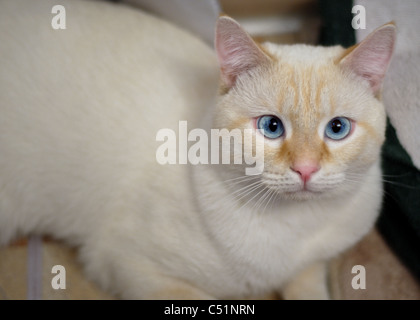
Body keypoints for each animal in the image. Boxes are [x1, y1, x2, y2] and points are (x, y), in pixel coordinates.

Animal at [0, 0, 394, 300]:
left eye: (337, 129)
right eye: (271, 127)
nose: (306, 169)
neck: (295, 228)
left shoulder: (312, 264)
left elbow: (310, 287)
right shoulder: (133, 266)